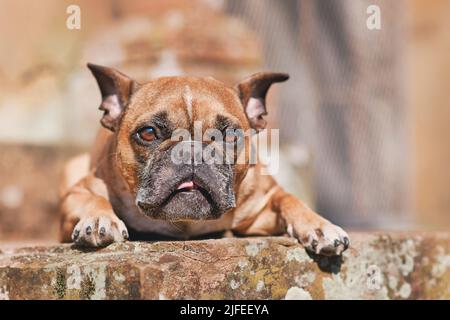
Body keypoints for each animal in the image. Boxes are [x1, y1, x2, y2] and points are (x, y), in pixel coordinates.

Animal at [58, 63, 350, 256]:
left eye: (230, 134)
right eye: (148, 133)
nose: (191, 151)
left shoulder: (264, 202)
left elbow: (289, 199)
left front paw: (320, 226)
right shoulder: (77, 192)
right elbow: (93, 199)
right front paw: (98, 219)